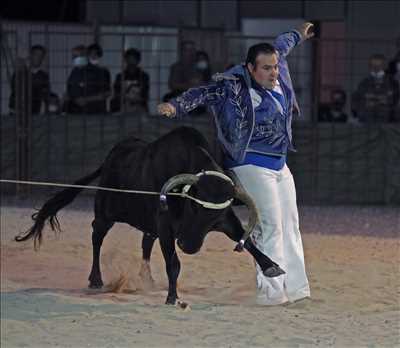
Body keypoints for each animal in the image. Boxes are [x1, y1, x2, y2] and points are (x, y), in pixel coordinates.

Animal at [15, 126, 284, 304]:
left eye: (213, 218)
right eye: (194, 207)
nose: (188, 245)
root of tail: (112, 157)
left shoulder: (226, 221)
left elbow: (246, 241)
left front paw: (272, 267)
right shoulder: (166, 227)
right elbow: (173, 263)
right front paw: (172, 297)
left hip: (146, 224)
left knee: (145, 242)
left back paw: (148, 279)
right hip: (105, 213)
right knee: (96, 236)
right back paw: (96, 279)